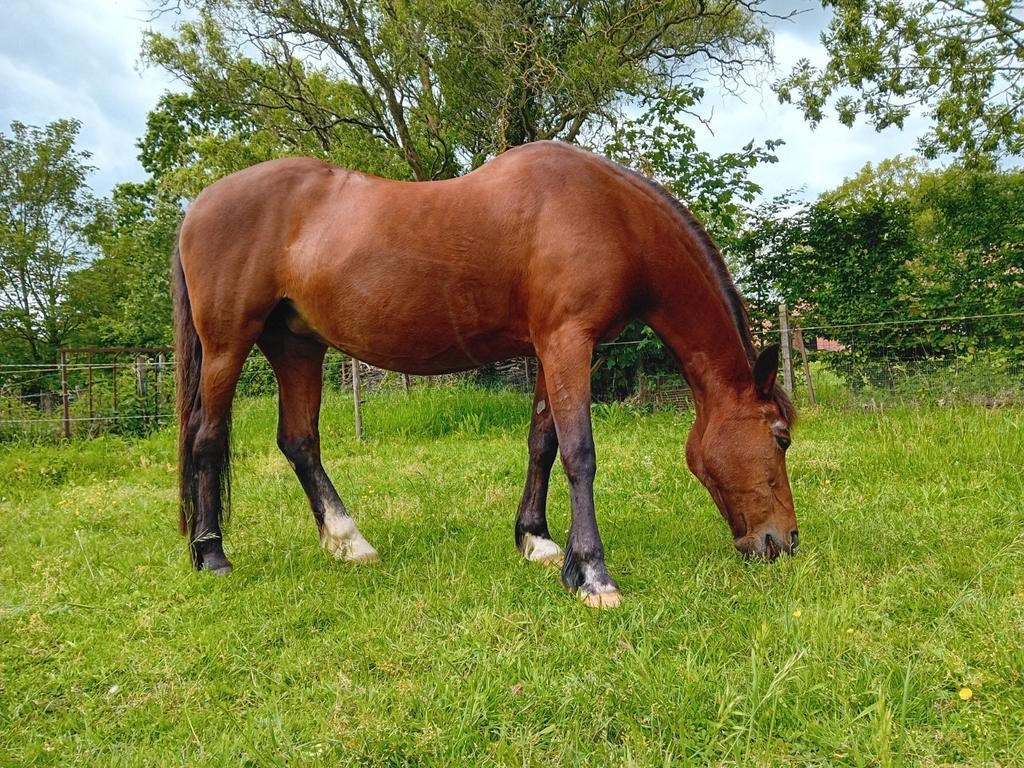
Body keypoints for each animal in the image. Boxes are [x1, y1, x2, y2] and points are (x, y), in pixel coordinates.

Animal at [173, 140, 798, 608]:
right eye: (781, 437)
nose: (785, 541)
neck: (610, 214)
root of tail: (199, 205)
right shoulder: (568, 341)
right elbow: (580, 452)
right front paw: (593, 575)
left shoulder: (552, 347)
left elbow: (543, 442)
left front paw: (539, 542)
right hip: (228, 345)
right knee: (207, 438)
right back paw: (213, 554)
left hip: (296, 345)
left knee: (299, 441)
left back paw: (349, 542)